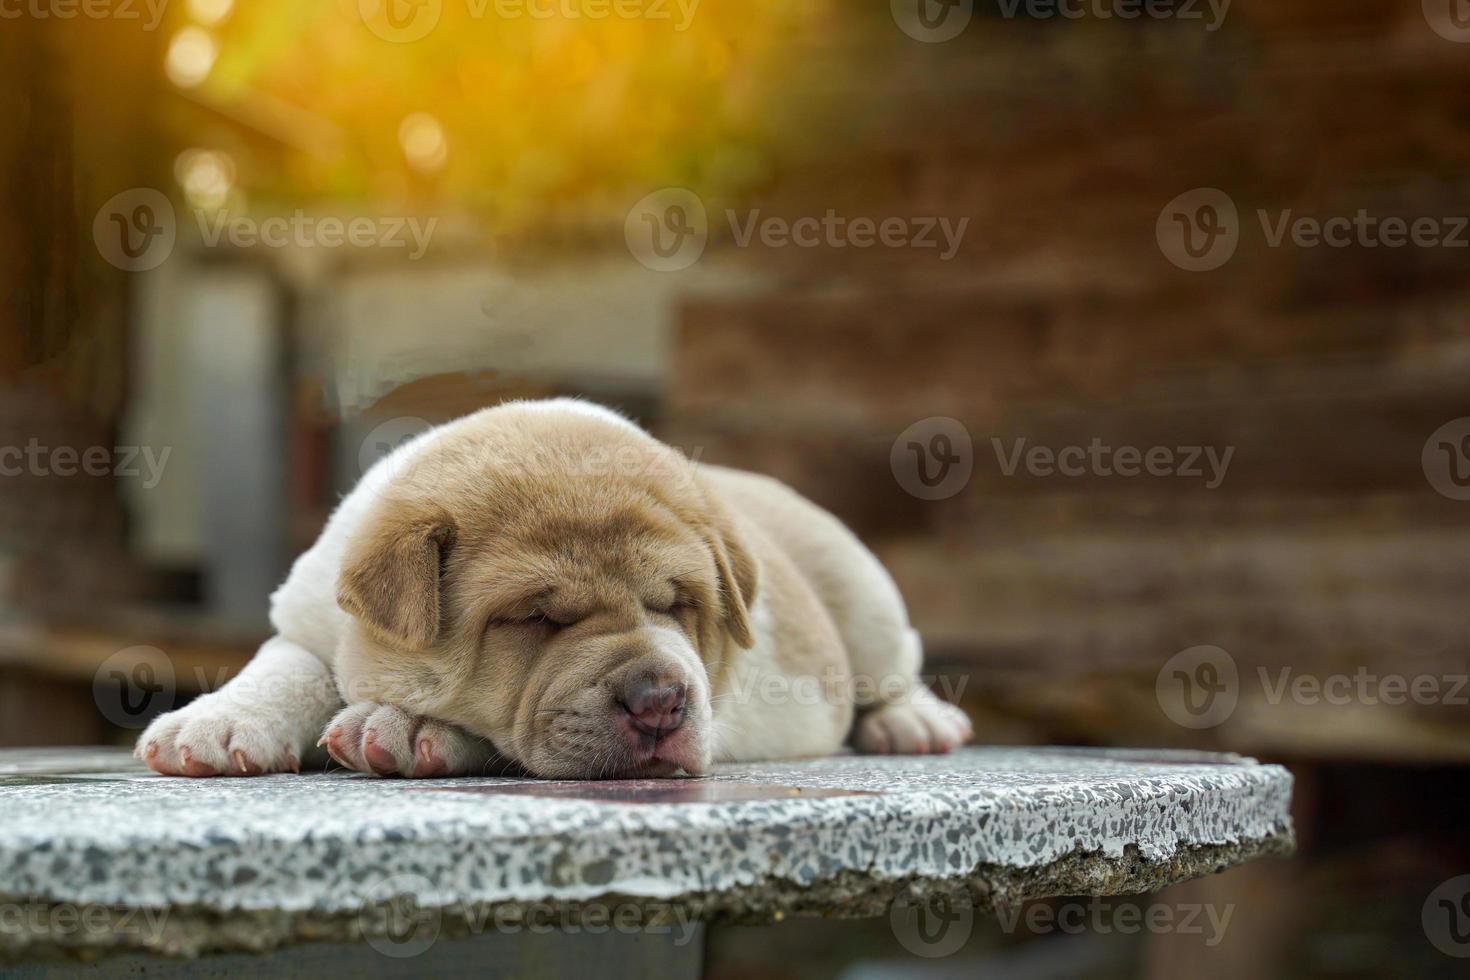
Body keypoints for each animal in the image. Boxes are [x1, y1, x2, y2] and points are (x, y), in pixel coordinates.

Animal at [132, 399, 970, 781]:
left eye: (678, 605)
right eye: (533, 617)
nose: (661, 700)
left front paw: (402, 724)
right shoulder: (307, 618)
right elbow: (284, 668)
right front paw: (217, 722)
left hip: (863, 593)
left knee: (893, 667)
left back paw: (913, 722)